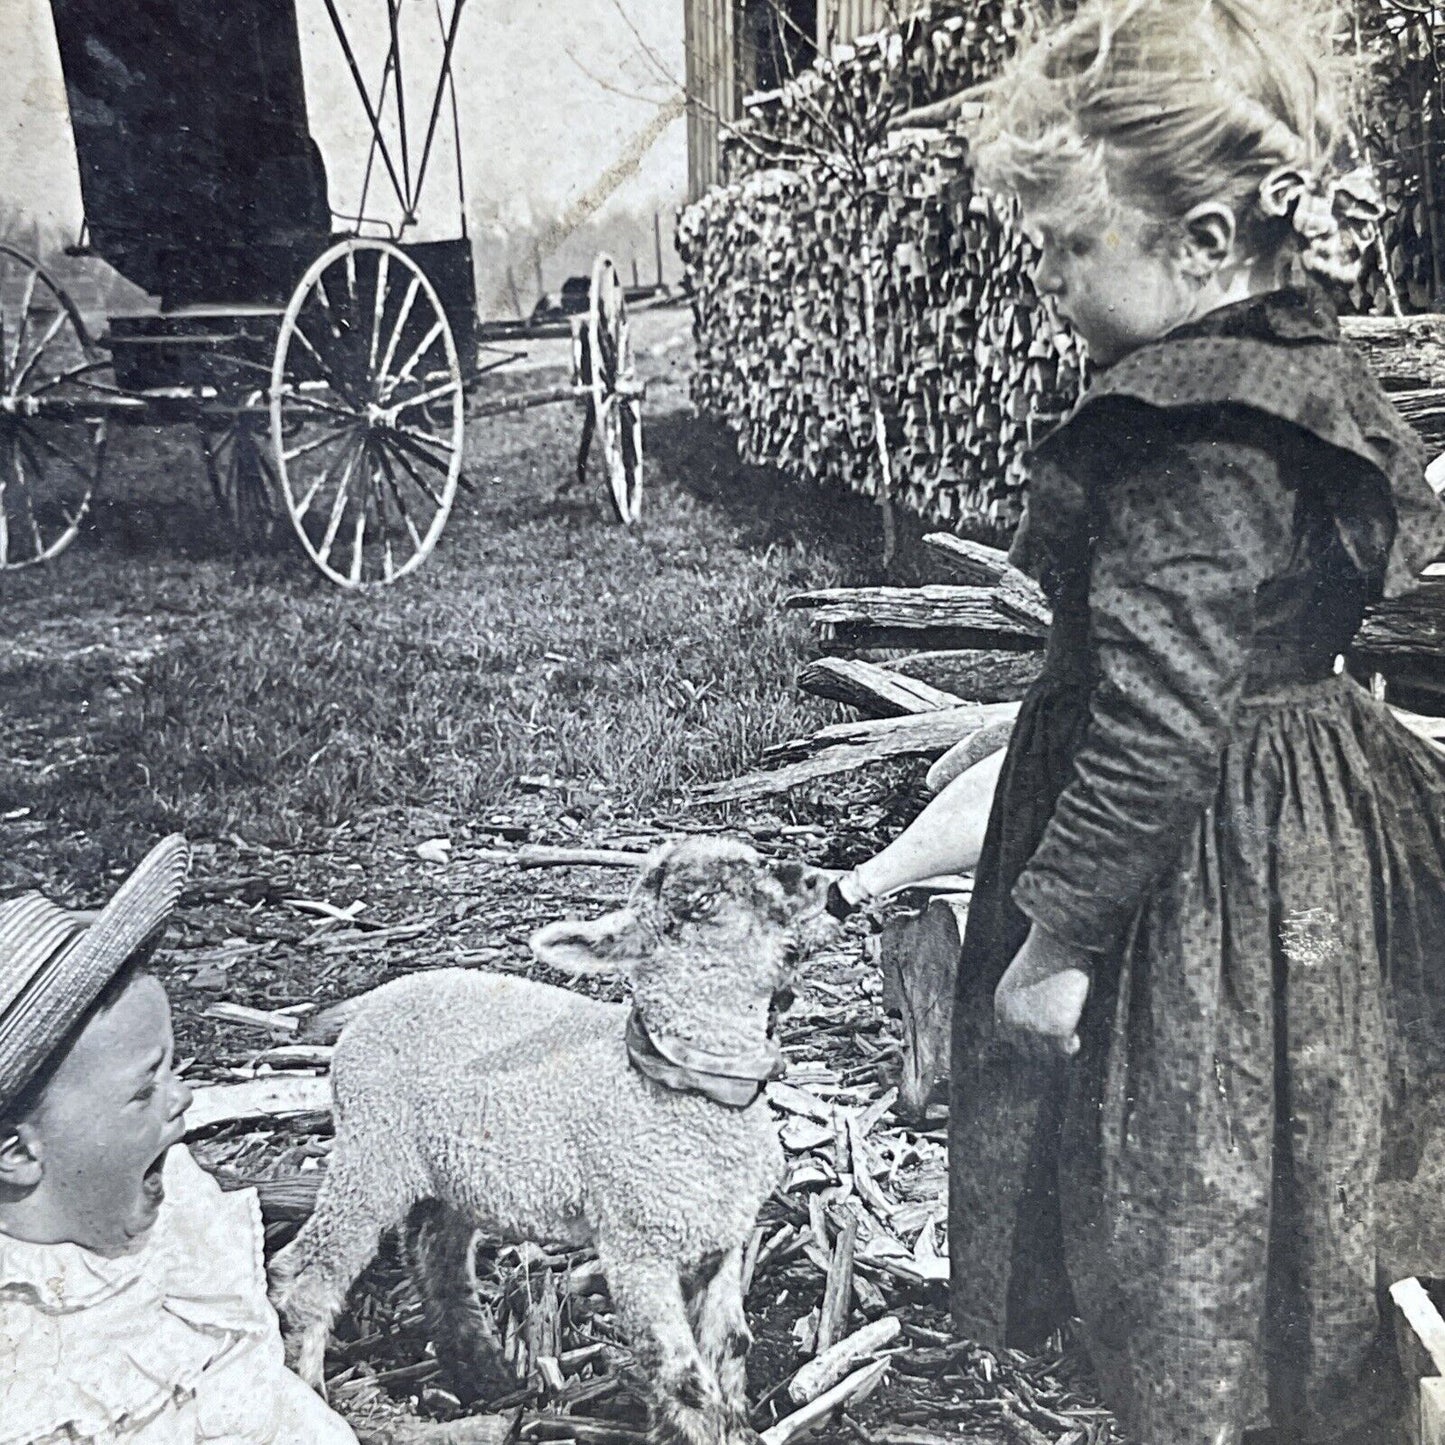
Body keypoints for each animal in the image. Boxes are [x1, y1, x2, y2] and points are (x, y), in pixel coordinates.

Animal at [271, 838, 832, 1445]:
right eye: (703, 901)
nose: (815, 881)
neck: (678, 1089)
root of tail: (374, 998)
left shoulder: (722, 1237)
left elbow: (730, 1346)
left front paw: (729, 1426)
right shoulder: (635, 1245)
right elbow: (680, 1373)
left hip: (450, 1168)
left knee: (432, 1248)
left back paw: (481, 1370)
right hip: (372, 1150)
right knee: (308, 1274)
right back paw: (314, 1397)